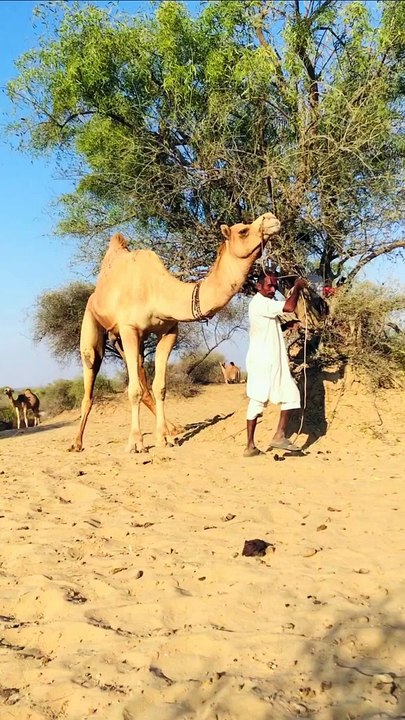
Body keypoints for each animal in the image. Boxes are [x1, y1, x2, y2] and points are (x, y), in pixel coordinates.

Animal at [72, 212, 280, 452]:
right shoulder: (129, 329)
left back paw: (173, 428)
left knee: (141, 375)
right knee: (91, 366)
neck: (156, 290)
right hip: (93, 321)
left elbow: (160, 386)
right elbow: (133, 390)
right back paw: (76, 442)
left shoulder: (169, 330)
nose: (271, 218)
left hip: (125, 342)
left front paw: (164, 438)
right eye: (243, 230)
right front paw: (136, 443)